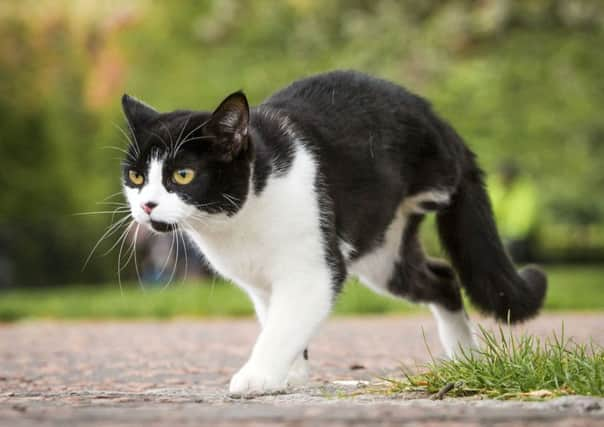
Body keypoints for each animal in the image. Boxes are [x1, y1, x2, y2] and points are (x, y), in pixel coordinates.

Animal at [120, 69, 544, 394]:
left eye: (183, 175)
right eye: (136, 177)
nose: (147, 205)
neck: (237, 219)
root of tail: (435, 116)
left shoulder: (313, 270)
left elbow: (283, 325)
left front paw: (257, 376)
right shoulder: (262, 286)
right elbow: (277, 319)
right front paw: (290, 374)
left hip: (422, 188)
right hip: (383, 256)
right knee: (442, 277)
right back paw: (464, 355)